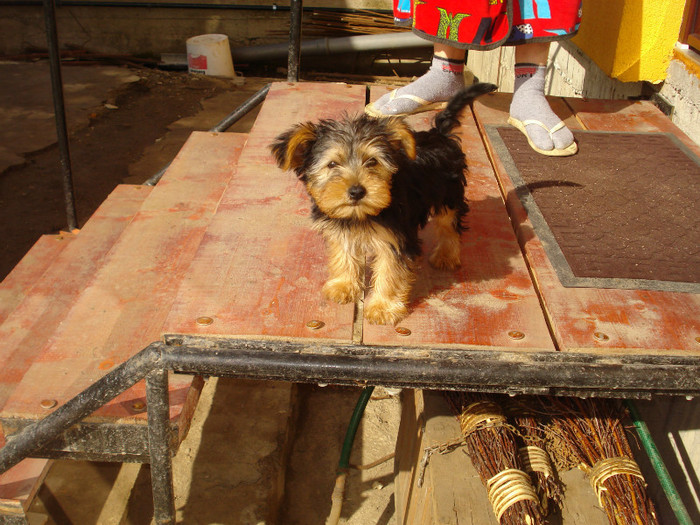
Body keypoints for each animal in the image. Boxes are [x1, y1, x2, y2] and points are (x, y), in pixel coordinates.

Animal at [270, 82, 494, 324]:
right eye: (332, 164)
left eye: (372, 161)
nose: (357, 191)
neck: (359, 215)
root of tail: (439, 134)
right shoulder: (342, 228)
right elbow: (344, 254)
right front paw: (344, 285)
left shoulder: (394, 239)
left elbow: (390, 271)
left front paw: (383, 307)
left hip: (448, 193)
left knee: (449, 224)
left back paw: (446, 255)